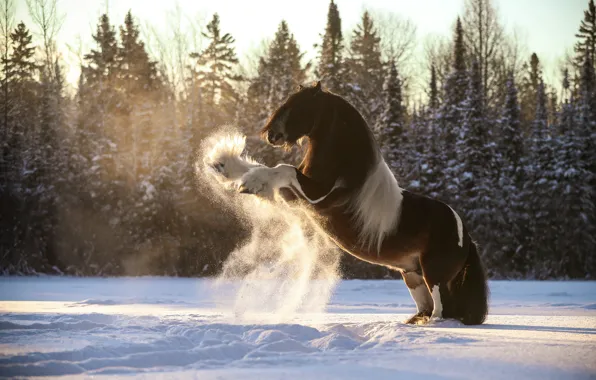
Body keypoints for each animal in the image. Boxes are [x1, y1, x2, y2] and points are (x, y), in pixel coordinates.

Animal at [210, 81, 488, 326]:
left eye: (301, 106)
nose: (271, 135)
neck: (344, 169)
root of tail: (464, 232)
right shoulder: (294, 198)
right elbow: (267, 168)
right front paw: (224, 164)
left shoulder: (314, 198)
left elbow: (282, 168)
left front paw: (250, 183)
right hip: (412, 274)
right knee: (426, 308)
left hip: (434, 275)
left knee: (442, 310)